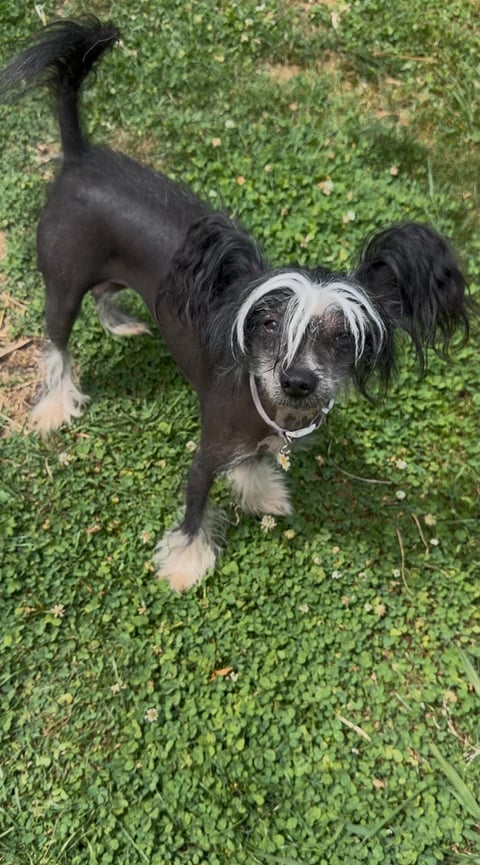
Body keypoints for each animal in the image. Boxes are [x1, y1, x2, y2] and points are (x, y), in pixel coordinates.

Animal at [0, 16, 472, 592]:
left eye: (342, 336)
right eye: (266, 323)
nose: (298, 382)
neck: (272, 410)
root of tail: (80, 155)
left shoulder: (256, 440)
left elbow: (252, 465)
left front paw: (261, 491)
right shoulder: (206, 456)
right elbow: (195, 510)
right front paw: (185, 563)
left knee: (106, 292)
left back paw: (121, 323)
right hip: (62, 284)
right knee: (57, 344)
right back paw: (55, 404)